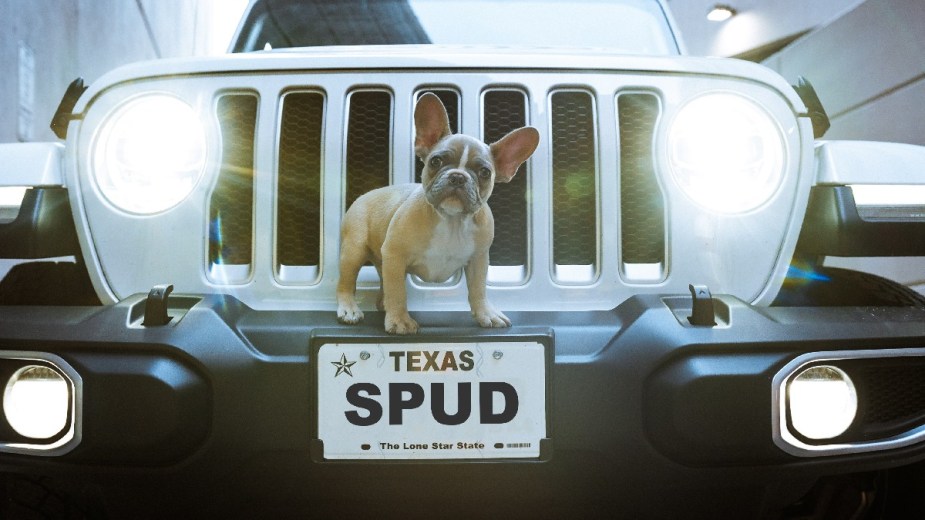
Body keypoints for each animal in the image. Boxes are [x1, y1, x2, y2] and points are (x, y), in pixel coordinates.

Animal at [334, 93, 536, 336]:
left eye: (485, 173)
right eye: (436, 161)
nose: (458, 177)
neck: (452, 220)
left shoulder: (478, 259)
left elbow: (478, 289)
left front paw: (486, 313)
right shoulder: (395, 255)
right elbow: (398, 292)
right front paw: (400, 320)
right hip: (354, 250)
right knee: (347, 282)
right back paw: (349, 309)